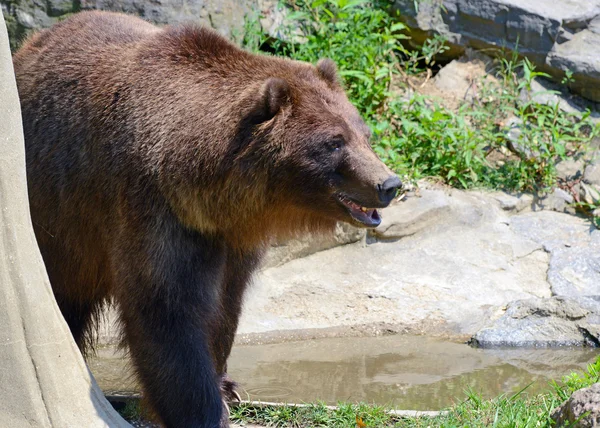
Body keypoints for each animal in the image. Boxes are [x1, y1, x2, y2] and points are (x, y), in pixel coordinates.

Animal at [14, 10, 400, 428]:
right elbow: (168, 311)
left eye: (364, 134)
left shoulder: (231, 241)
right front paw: (205, 409)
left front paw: (226, 385)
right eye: (334, 142)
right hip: (56, 212)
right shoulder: (153, 211)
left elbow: (226, 307)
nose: (388, 183)